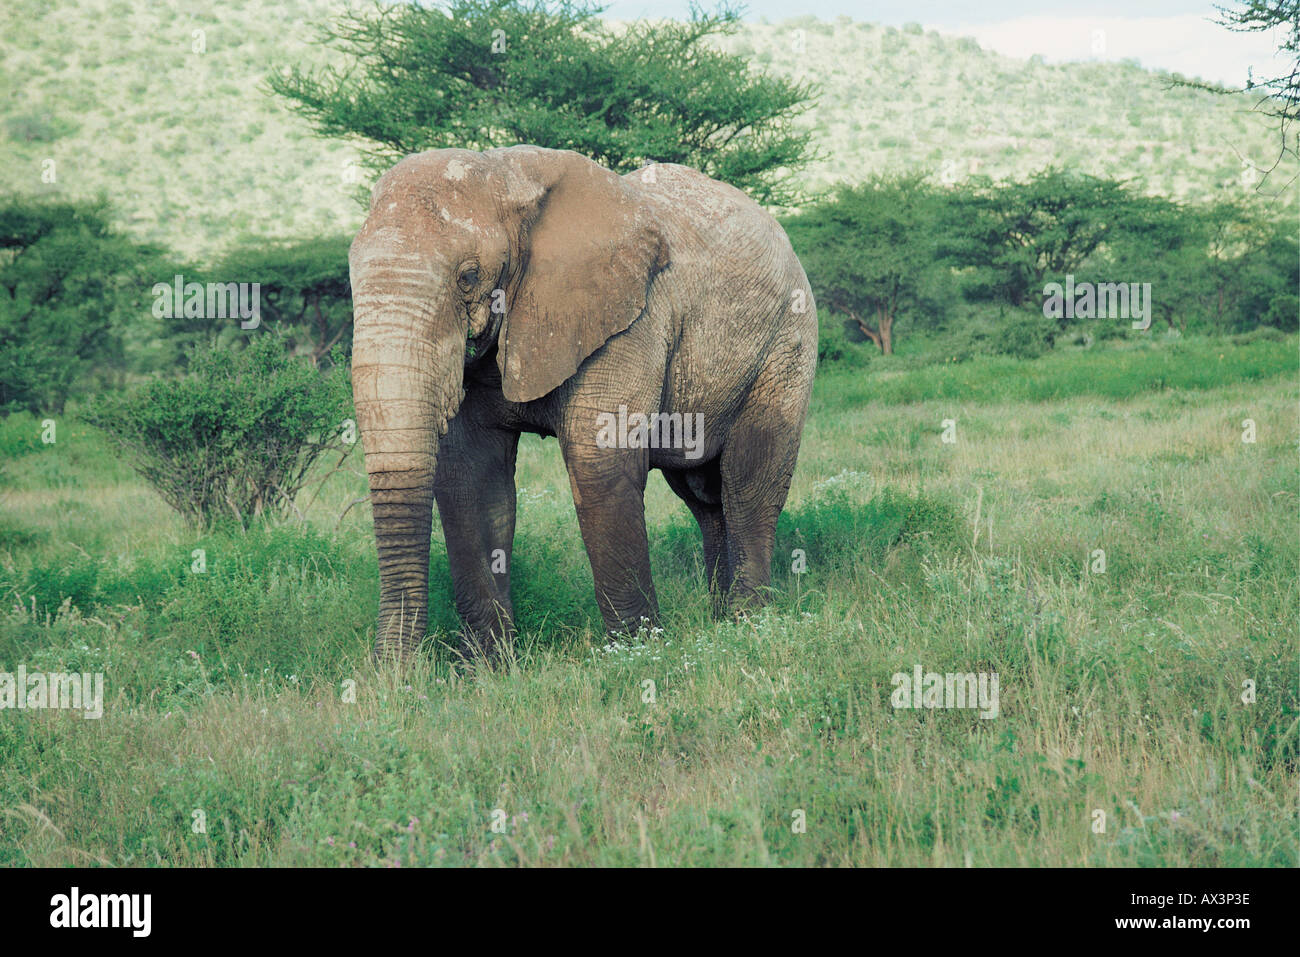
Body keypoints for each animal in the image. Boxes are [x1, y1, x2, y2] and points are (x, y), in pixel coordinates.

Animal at [345, 145, 811, 660]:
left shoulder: (631, 318)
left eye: (468, 277)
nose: (396, 672)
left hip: (786, 342)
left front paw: (636, 654)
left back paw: (748, 623)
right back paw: (719, 621)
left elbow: (598, 463)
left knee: (749, 481)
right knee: (703, 495)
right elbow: (471, 475)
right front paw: (493, 667)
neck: (503, 173)